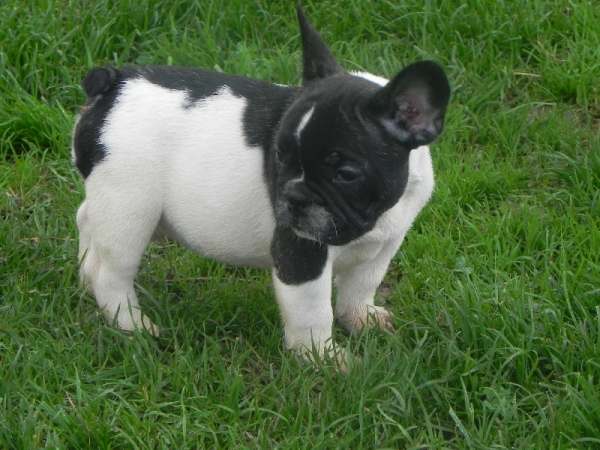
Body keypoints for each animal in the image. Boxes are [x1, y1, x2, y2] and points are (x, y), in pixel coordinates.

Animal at [72, 5, 450, 360]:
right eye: (279, 156)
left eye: (345, 174)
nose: (292, 196)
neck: (376, 216)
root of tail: (114, 85)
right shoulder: (301, 252)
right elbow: (313, 313)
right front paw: (323, 360)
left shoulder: (386, 242)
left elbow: (363, 283)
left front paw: (361, 319)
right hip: (129, 209)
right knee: (111, 272)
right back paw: (133, 326)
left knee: (86, 221)